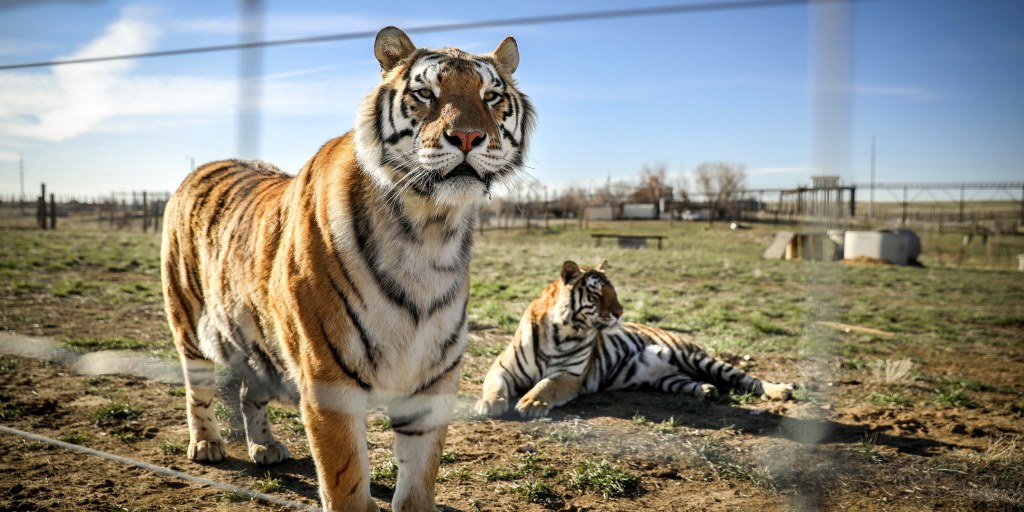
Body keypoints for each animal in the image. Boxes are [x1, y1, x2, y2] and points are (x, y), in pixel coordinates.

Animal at [159, 27, 536, 512]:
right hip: (188, 322)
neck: (430, 228)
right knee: (197, 388)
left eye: (491, 96)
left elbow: (419, 478)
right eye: (425, 93)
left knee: (249, 391)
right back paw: (206, 444)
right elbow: (345, 483)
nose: (468, 137)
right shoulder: (328, 378)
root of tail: (203, 166)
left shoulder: (432, 379)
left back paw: (265, 446)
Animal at [471, 262, 790, 417]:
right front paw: (489, 403)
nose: (620, 312)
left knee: (746, 378)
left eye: (614, 291)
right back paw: (707, 390)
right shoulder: (502, 368)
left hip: (695, 356)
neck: (560, 332)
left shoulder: (570, 375)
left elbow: (546, 385)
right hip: (668, 378)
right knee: (689, 382)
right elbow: (494, 386)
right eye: (596, 293)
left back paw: (780, 390)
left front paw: (531, 404)